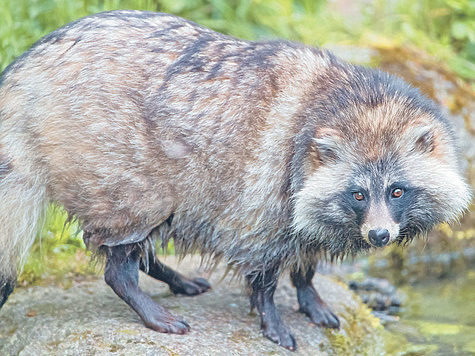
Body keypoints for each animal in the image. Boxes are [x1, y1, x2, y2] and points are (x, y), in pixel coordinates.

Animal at [0, 9, 472, 350]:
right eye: (358, 194)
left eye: (397, 191)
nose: (378, 236)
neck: (350, 100)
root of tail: (29, 67)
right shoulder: (268, 187)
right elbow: (264, 264)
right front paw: (271, 312)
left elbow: (308, 248)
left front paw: (308, 291)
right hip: (115, 164)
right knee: (127, 236)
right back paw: (138, 293)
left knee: (150, 234)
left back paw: (168, 274)